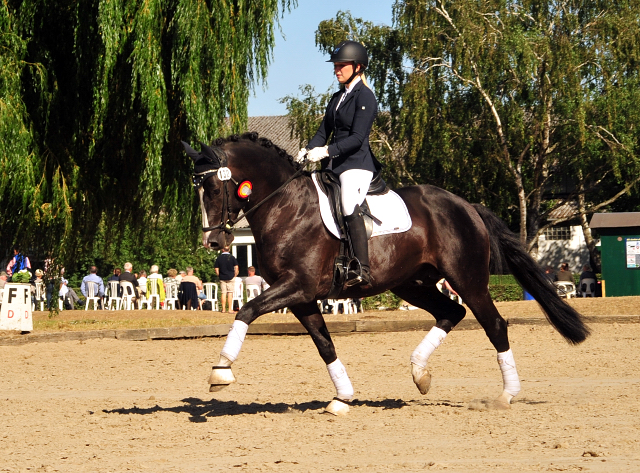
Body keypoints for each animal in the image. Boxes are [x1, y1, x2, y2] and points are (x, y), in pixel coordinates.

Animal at [182, 132, 588, 412]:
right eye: (197, 188)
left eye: (214, 187)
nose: (213, 241)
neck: (286, 206)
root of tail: (466, 205)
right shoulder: (301, 296)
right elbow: (324, 343)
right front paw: (342, 398)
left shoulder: (297, 285)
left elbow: (246, 310)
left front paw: (221, 371)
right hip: (413, 283)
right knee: (451, 312)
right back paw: (420, 374)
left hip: (467, 281)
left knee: (495, 325)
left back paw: (505, 395)